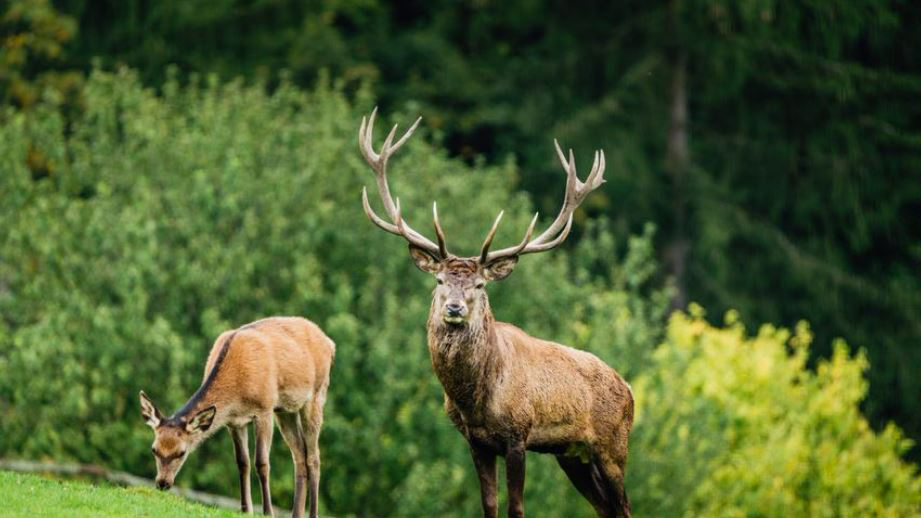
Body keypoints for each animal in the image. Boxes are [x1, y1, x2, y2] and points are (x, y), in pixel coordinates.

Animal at [140, 316, 334, 518]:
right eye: (154, 449)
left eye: (181, 452)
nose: (162, 483)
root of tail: (329, 343)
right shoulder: (234, 422)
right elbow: (242, 462)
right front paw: (245, 510)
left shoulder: (264, 408)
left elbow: (262, 462)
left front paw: (268, 512)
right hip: (285, 410)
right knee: (299, 454)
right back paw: (296, 513)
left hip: (316, 395)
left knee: (314, 456)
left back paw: (312, 513)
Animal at [358, 110, 632, 518]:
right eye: (439, 280)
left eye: (479, 285)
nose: (454, 307)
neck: (477, 401)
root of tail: (629, 389)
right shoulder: (477, 441)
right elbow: (489, 505)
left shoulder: (518, 435)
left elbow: (515, 508)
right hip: (572, 455)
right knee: (605, 508)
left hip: (614, 445)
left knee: (623, 506)